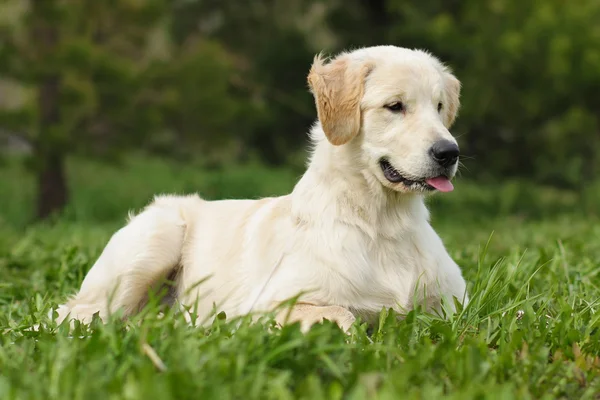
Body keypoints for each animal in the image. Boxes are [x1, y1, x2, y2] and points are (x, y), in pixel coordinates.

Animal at [54, 45, 468, 332]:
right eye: (395, 106)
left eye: (439, 106)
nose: (450, 152)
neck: (383, 224)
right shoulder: (263, 306)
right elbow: (341, 315)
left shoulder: (456, 306)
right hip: (157, 237)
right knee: (75, 315)